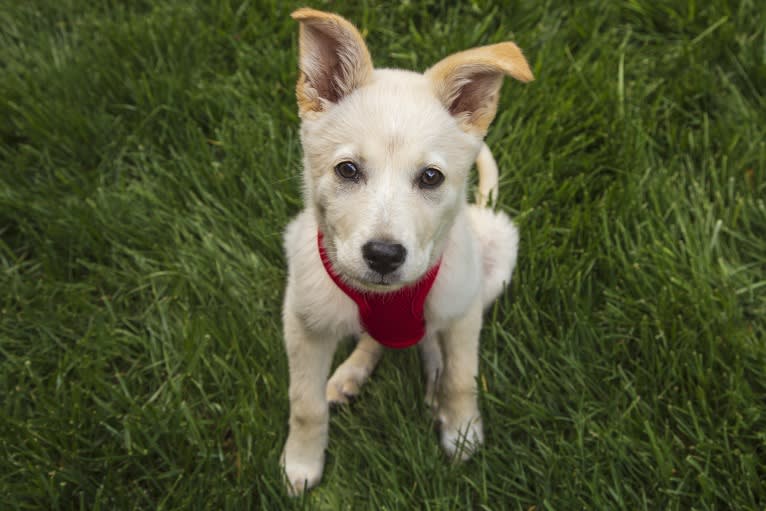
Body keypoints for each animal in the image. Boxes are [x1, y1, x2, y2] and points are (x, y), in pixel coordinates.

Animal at [282, 7, 536, 496]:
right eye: (347, 170)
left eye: (431, 177)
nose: (383, 255)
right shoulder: (303, 323)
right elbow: (305, 404)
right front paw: (302, 463)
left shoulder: (463, 309)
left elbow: (461, 378)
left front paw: (461, 432)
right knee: (375, 339)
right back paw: (348, 376)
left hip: (495, 256)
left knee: (433, 340)